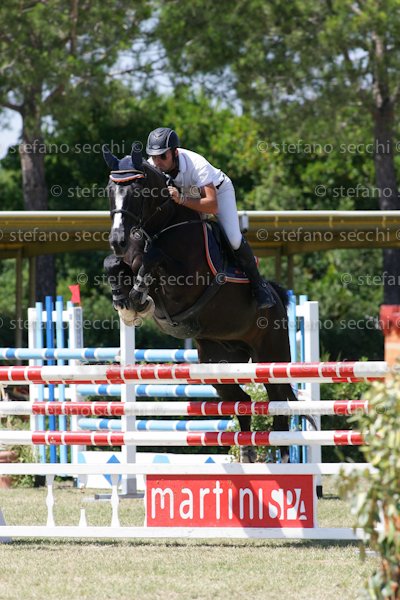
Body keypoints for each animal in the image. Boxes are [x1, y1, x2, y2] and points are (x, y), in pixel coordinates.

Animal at [102, 144, 299, 462]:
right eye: (110, 190)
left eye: (137, 192)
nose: (117, 239)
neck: (161, 226)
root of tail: (280, 299)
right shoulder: (127, 260)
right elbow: (113, 264)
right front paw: (125, 302)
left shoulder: (183, 281)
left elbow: (152, 259)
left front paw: (138, 298)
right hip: (217, 362)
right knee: (242, 401)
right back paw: (248, 453)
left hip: (272, 356)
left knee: (279, 408)